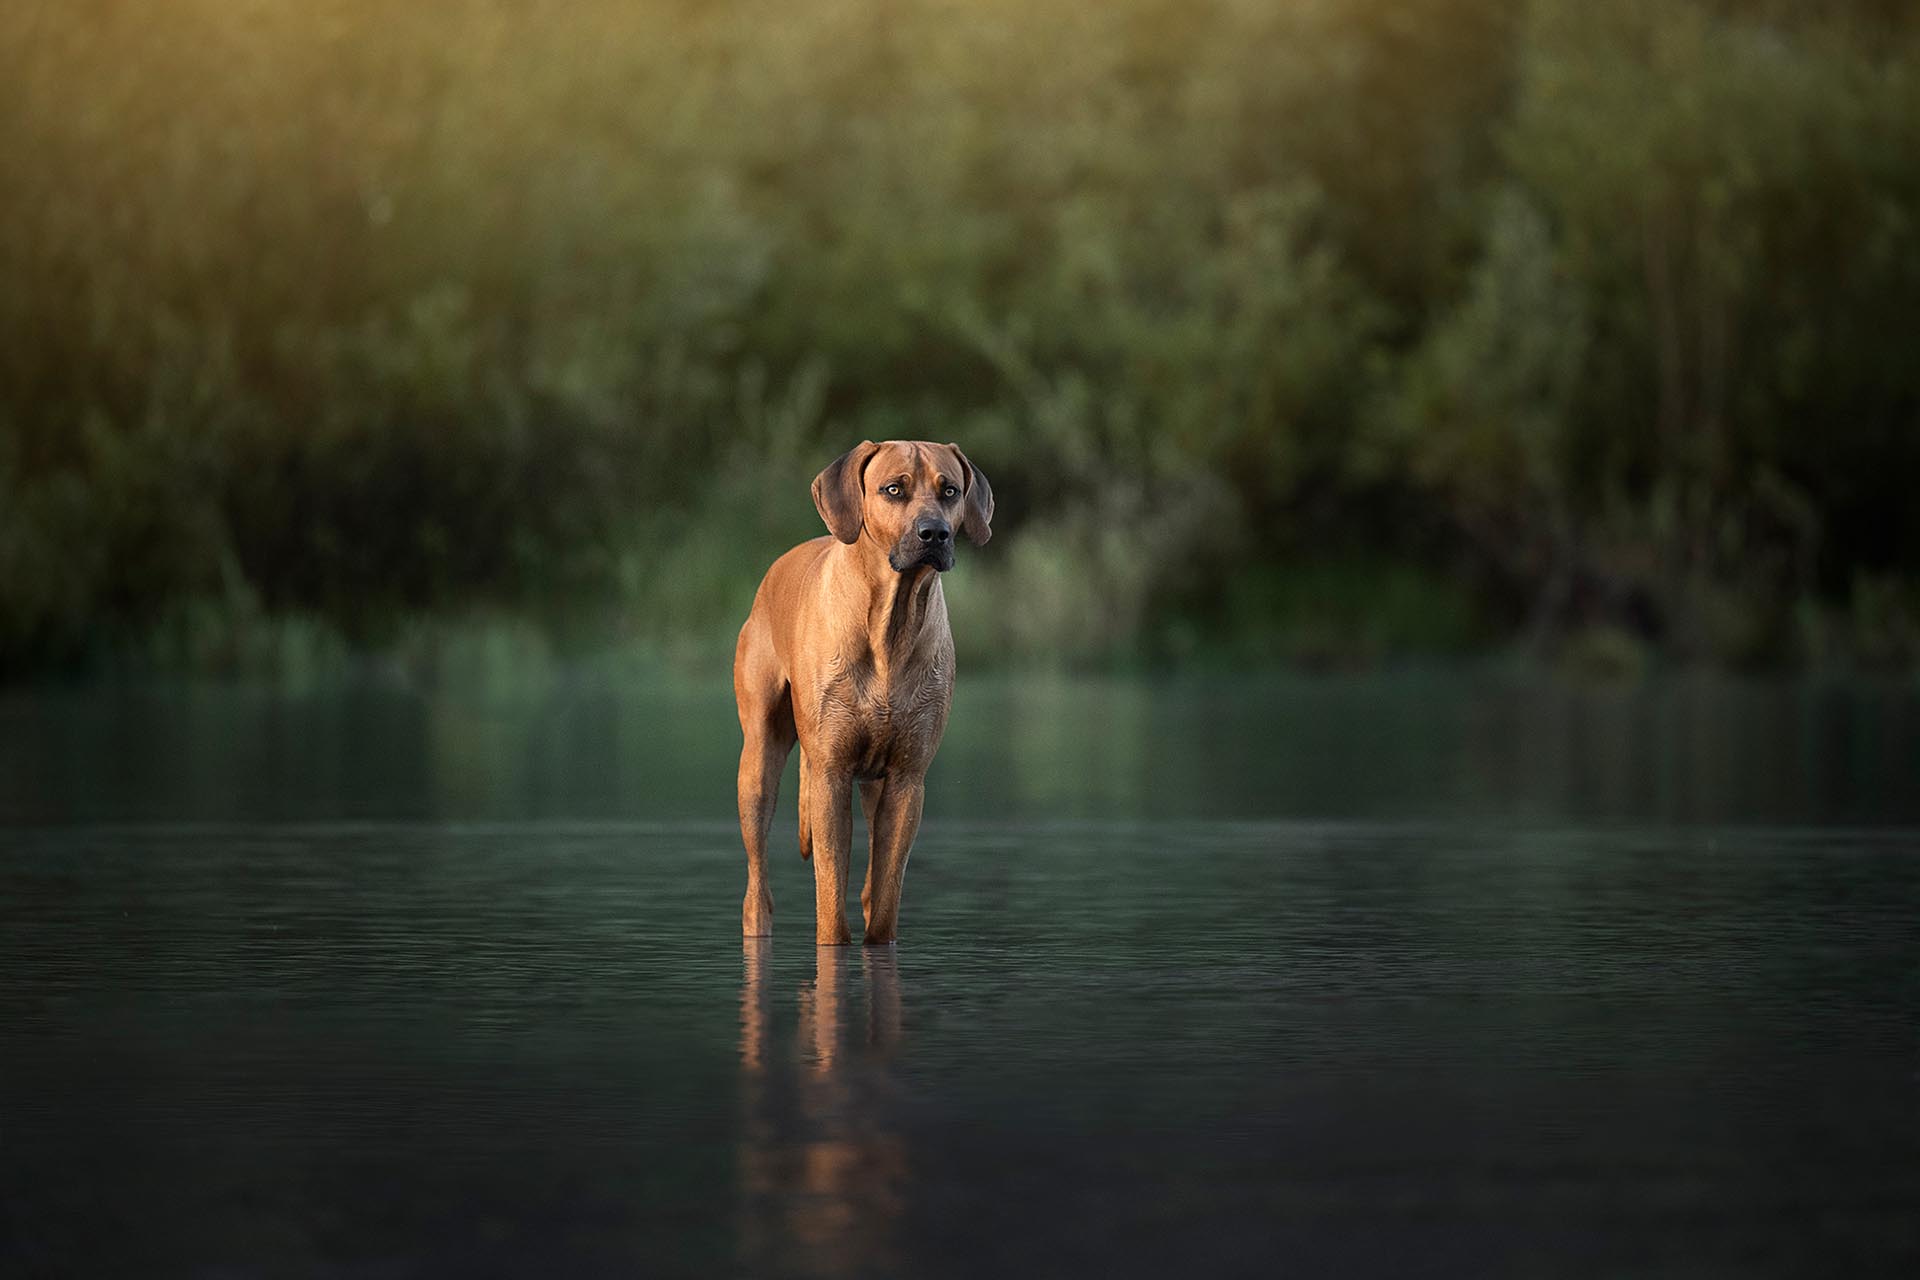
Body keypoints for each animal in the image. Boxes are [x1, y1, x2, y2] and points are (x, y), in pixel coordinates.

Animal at [733, 445, 998, 948]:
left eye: (950, 490)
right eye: (893, 489)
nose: (934, 533)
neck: (890, 622)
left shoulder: (906, 780)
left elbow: (886, 893)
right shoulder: (830, 774)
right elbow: (830, 893)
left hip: (875, 784)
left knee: (871, 883)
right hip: (758, 764)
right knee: (758, 886)